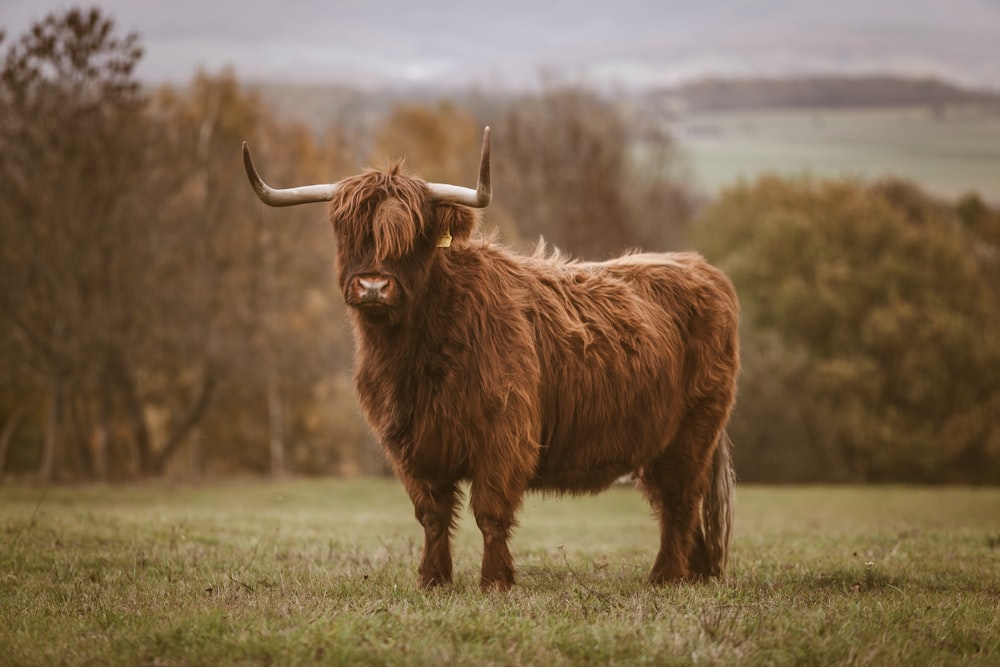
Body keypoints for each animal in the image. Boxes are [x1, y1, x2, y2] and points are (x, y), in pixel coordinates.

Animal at [243, 129, 740, 588]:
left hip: (692, 432)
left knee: (680, 500)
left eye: (415, 235)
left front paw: (496, 580)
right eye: (348, 231)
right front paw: (433, 579)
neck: (416, 354)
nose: (372, 286)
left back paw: (666, 575)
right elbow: (431, 515)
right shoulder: (408, 443)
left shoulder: (505, 433)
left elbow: (490, 511)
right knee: (679, 504)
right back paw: (697, 573)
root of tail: (701, 268)